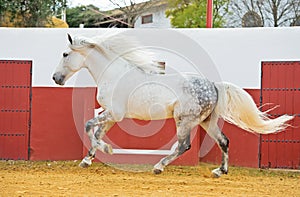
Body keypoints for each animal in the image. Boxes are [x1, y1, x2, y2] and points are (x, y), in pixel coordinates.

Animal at [52, 33, 292, 178]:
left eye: (65, 54)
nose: (56, 78)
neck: (114, 74)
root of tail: (214, 85)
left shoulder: (114, 114)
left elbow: (88, 126)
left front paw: (105, 150)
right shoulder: (111, 115)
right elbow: (97, 132)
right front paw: (87, 160)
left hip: (184, 121)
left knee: (184, 145)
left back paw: (159, 167)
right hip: (207, 122)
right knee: (223, 141)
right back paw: (219, 171)